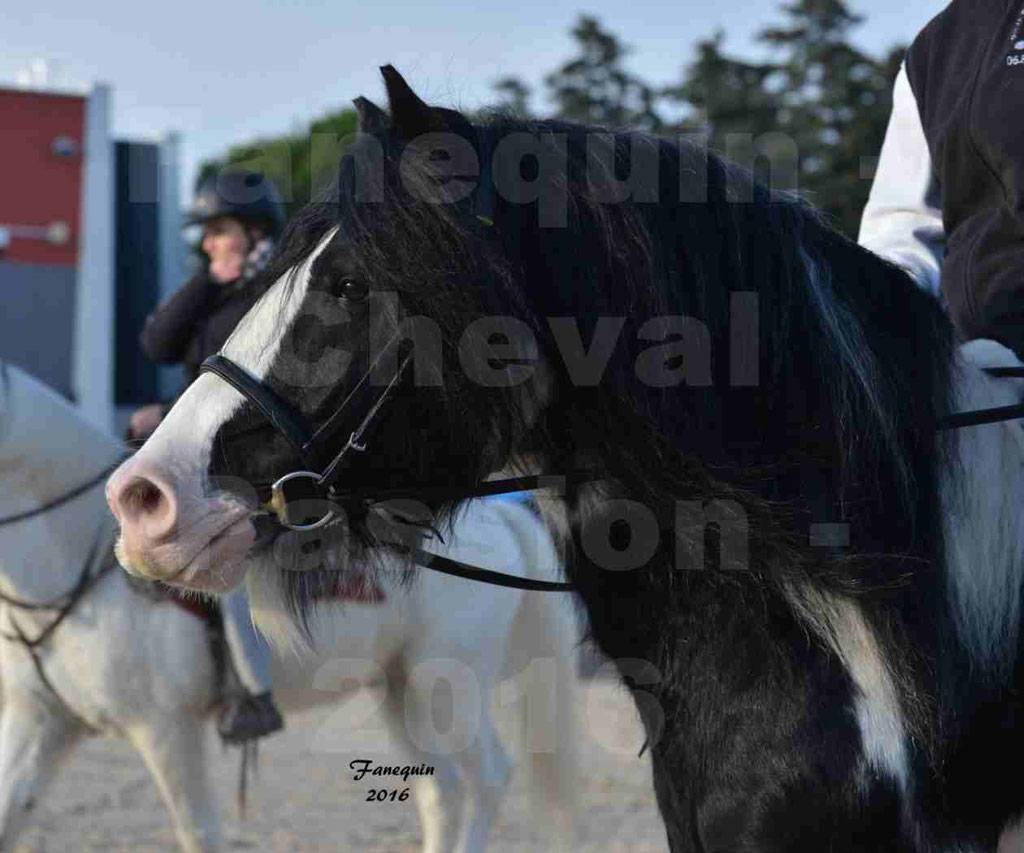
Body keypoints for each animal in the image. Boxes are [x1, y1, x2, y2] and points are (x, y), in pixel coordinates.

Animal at [0, 362, 581, 851]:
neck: (80, 554)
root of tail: (501, 515)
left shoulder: (165, 731)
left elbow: (198, 834)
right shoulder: (41, 720)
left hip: (445, 688)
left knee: (488, 779)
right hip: (399, 689)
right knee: (442, 792)